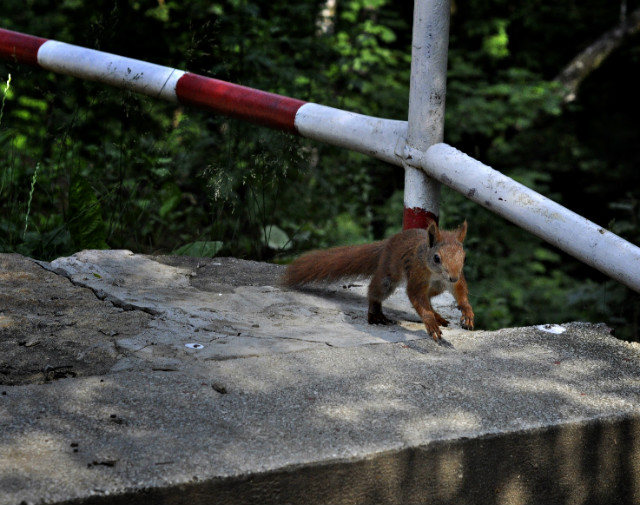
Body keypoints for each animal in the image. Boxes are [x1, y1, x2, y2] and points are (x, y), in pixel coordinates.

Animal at [282, 220, 472, 340]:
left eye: (464, 257)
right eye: (437, 258)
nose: (452, 276)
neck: (437, 274)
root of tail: (388, 242)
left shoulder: (454, 281)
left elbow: (460, 292)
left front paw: (467, 312)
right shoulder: (417, 275)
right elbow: (416, 297)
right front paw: (430, 322)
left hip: (437, 288)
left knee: (430, 298)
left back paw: (438, 315)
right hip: (388, 275)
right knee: (376, 291)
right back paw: (375, 313)